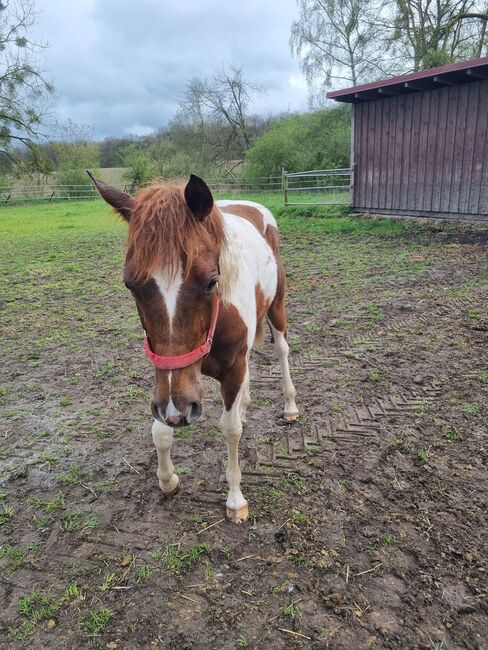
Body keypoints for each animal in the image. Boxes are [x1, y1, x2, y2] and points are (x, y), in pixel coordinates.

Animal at [89, 173, 300, 520]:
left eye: (211, 281)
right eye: (130, 285)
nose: (180, 411)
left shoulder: (230, 368)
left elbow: (230, 429)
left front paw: (235, 499)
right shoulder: (166, 379)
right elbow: (160, 431)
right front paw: (168, 481)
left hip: (276, 307)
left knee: (282, 351)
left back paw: (290, 407)